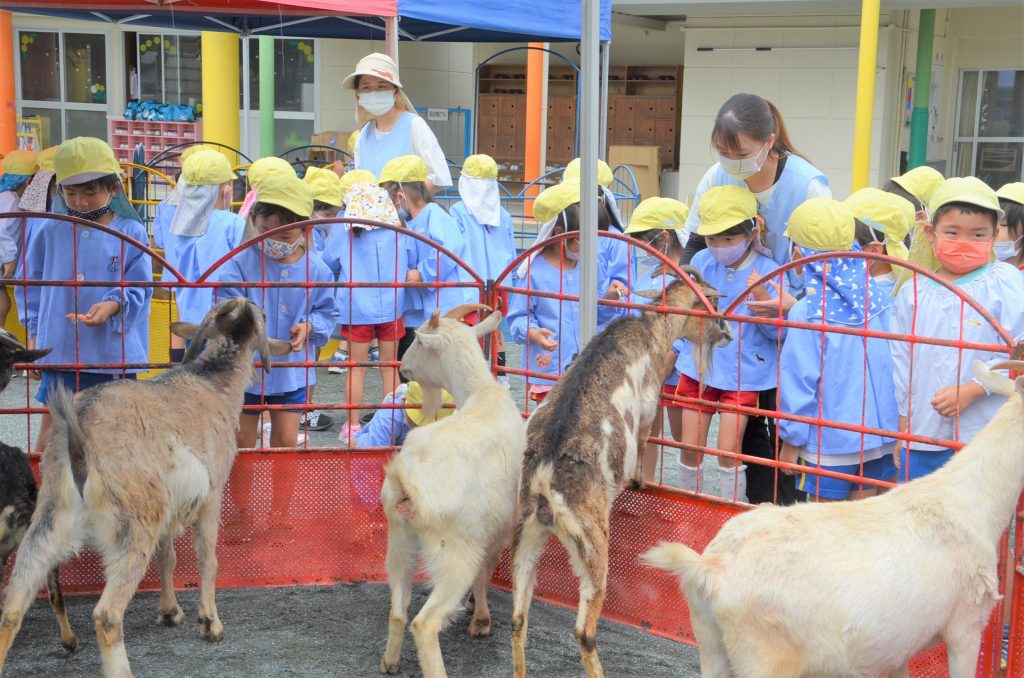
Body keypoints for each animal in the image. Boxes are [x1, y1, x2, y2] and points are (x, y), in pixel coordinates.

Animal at [0, 301, 290, 678]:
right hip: (133, 523)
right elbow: (207, 557)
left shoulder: (170, 508)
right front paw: (210, 623)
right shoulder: (212, 492)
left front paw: (169, 611)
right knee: (107, 614)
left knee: (13, 607)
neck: (213, 385)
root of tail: (78, 429)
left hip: (49, 520)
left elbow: (168, 556)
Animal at [378, 305, 528, 678]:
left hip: (399, 540)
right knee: (424, 623)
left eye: (417, 341)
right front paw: (481, 618)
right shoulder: (496, 529)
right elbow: (487, 570)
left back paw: (390, 662)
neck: (481, 395)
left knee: (398, 610)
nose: (402, 367)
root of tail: (409, 482)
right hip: (454, 552)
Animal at [509, 274, 733, 675]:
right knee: (584, 629)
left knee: (519, 617)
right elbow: (644, 438)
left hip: (526, 531)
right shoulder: (647, 406)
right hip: (592, 541)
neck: (651, 329)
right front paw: (640, 481)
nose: (728, 333)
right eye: (713, 303)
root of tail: (545, 480)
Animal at [647, 358, 1024, 675]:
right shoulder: (966, 625)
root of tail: (709, 568)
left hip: (711, 645)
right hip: (766, 658)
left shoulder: (900, 646)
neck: (969, 501)